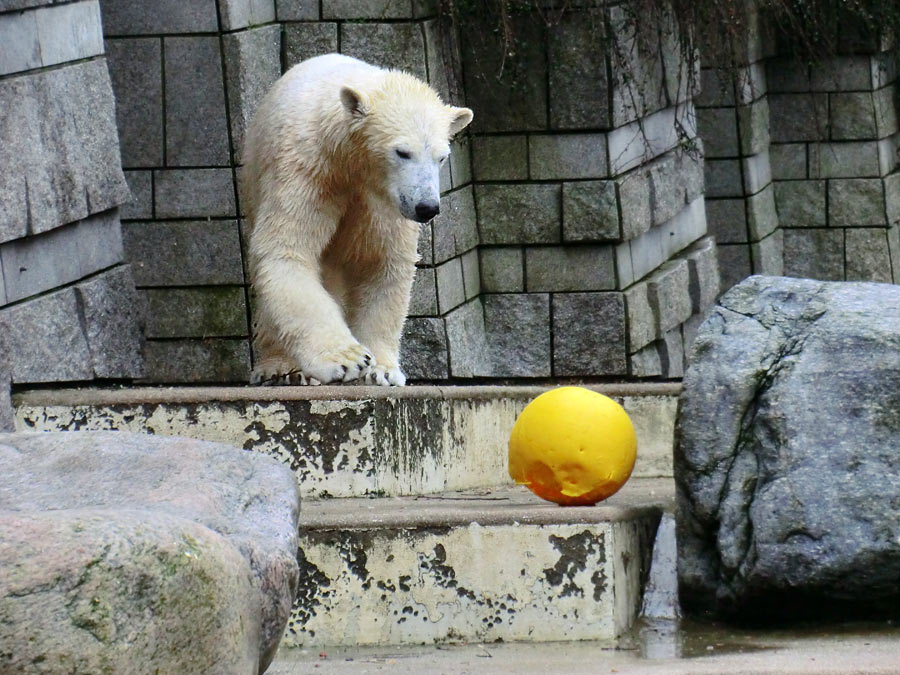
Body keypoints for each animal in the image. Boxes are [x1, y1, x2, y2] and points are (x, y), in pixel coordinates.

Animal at [243, 54, 474, 386]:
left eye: (442, 157)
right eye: (402, 152)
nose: (427, 207)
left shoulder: (383, 203)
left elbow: (384, 263)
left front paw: (383, 371)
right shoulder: (306, 170)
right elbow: (286, 250)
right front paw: (348, 360)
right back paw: (278, 368)